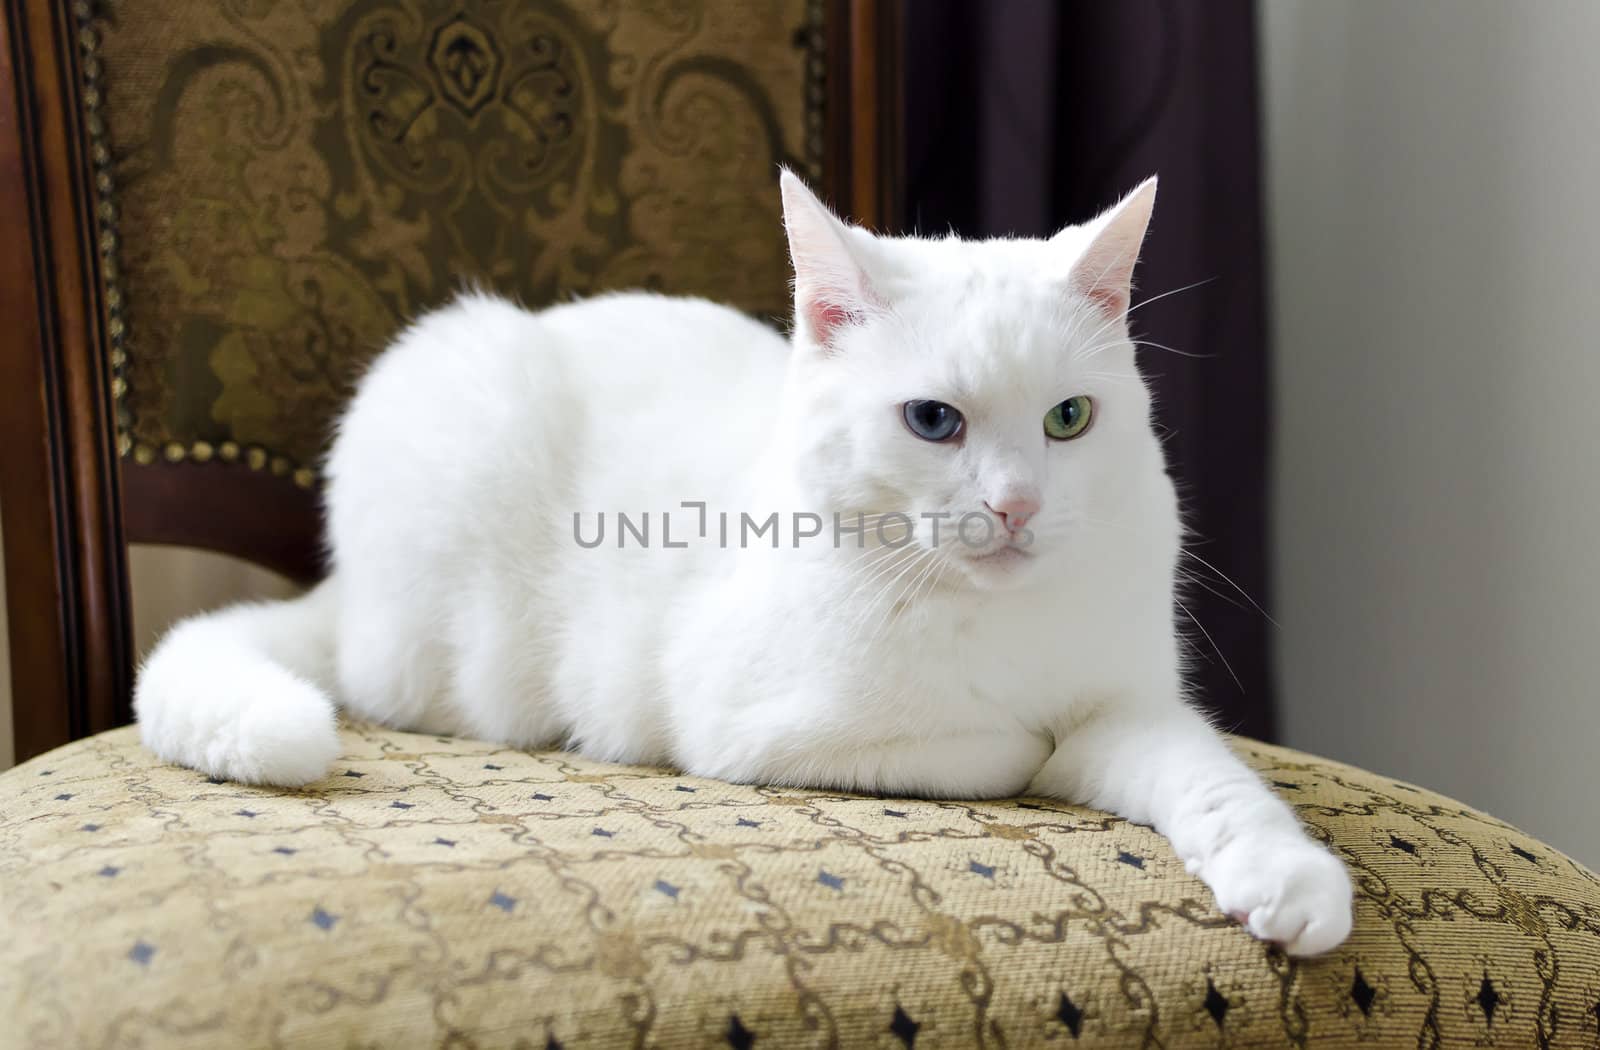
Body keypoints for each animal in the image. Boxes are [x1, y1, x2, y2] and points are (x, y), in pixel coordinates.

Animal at [137, 170, 1350, 953]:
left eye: (1069, 419)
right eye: (932, 420)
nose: (1015, 506)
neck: (981, 612)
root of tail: (341, 595)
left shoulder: (1129, 704)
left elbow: (1205, 774)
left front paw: (1285, 877)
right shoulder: (755, 728)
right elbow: (1003, 748)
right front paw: (1024, 745)